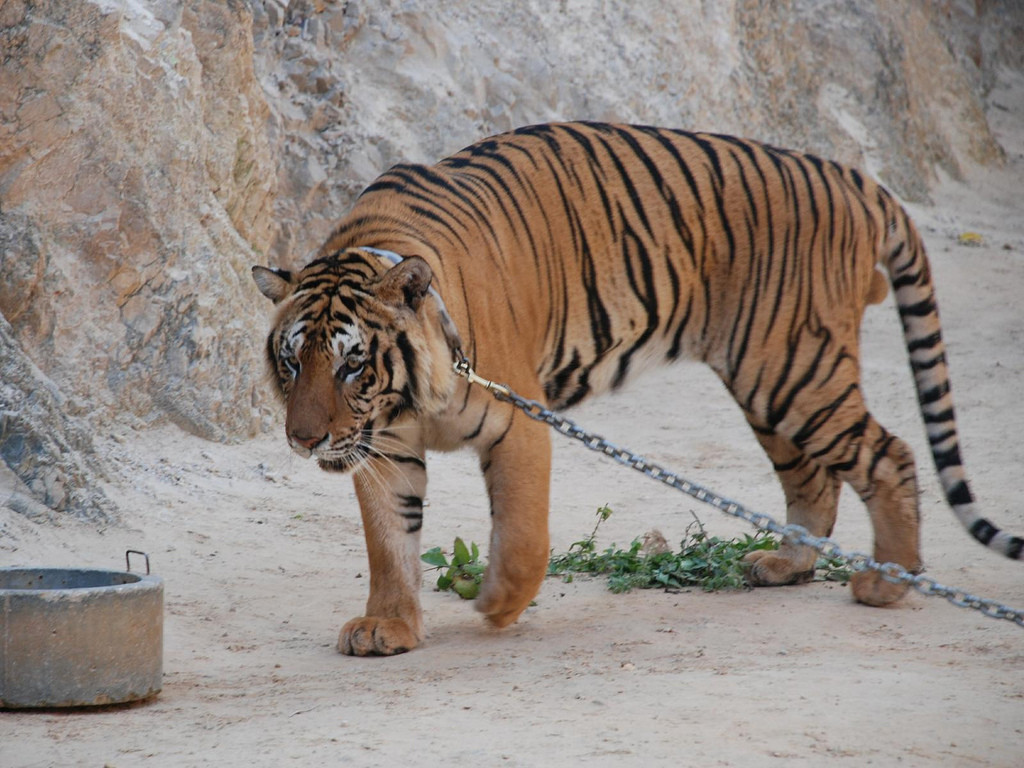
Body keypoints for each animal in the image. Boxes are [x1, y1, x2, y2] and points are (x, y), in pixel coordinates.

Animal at [251, 120, 1019, 655]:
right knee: (815, 480)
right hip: (768, 385)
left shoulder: (518, 423)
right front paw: (389, 627)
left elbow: (523, 534)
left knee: (888, 454)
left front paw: (499, 605)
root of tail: (853, 177)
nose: (304, 439)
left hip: (796, 373)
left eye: (352, 364)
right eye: (292, 363)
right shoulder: (382, 450)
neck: (404, 399)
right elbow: (391, 543)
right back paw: (785, 565)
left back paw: (890, 582)